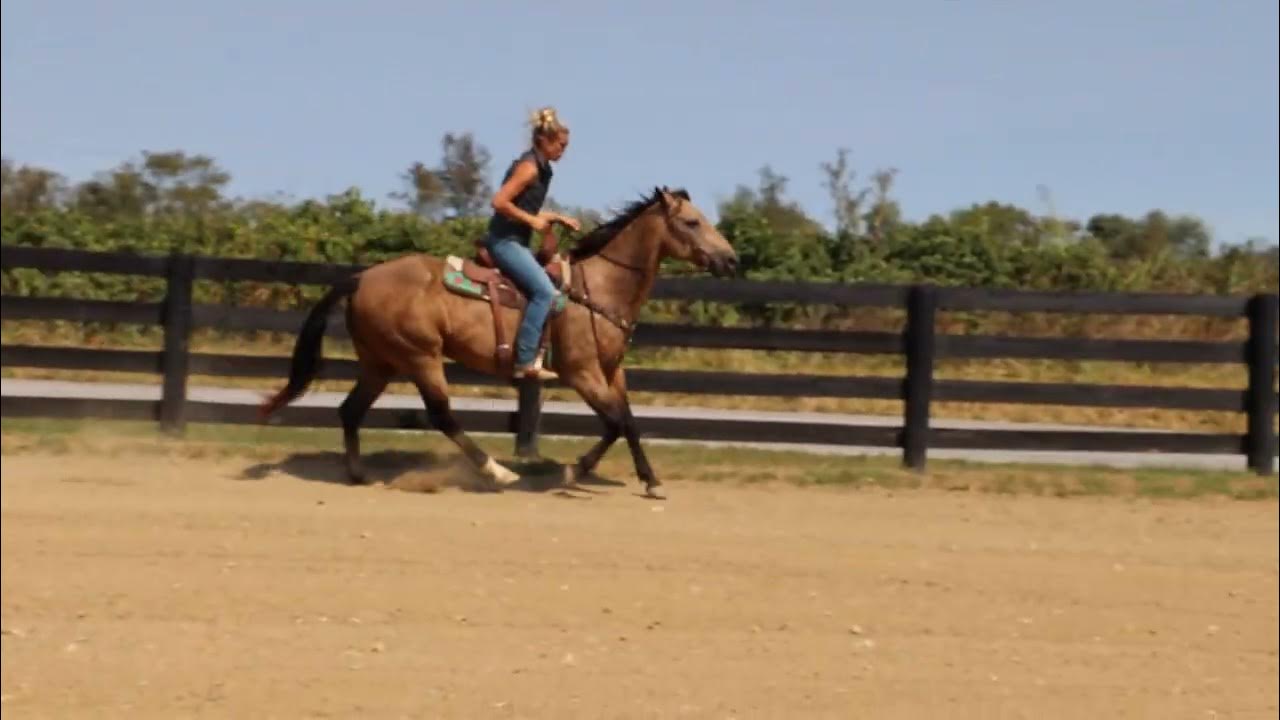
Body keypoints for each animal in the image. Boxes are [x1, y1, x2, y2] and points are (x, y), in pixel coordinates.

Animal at [258, 186, 739, 499]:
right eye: (692, 222)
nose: (731, 259)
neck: (598, 287)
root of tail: (361, 278)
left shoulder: (612, 370)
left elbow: (629, 422)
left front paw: (647, 480)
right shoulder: (581, 373)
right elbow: (616, 422)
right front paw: (575, 471)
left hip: (380, 362)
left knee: (350, 410)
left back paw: (357, 474)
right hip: (421, 358)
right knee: (442, 416)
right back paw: (498, 473)